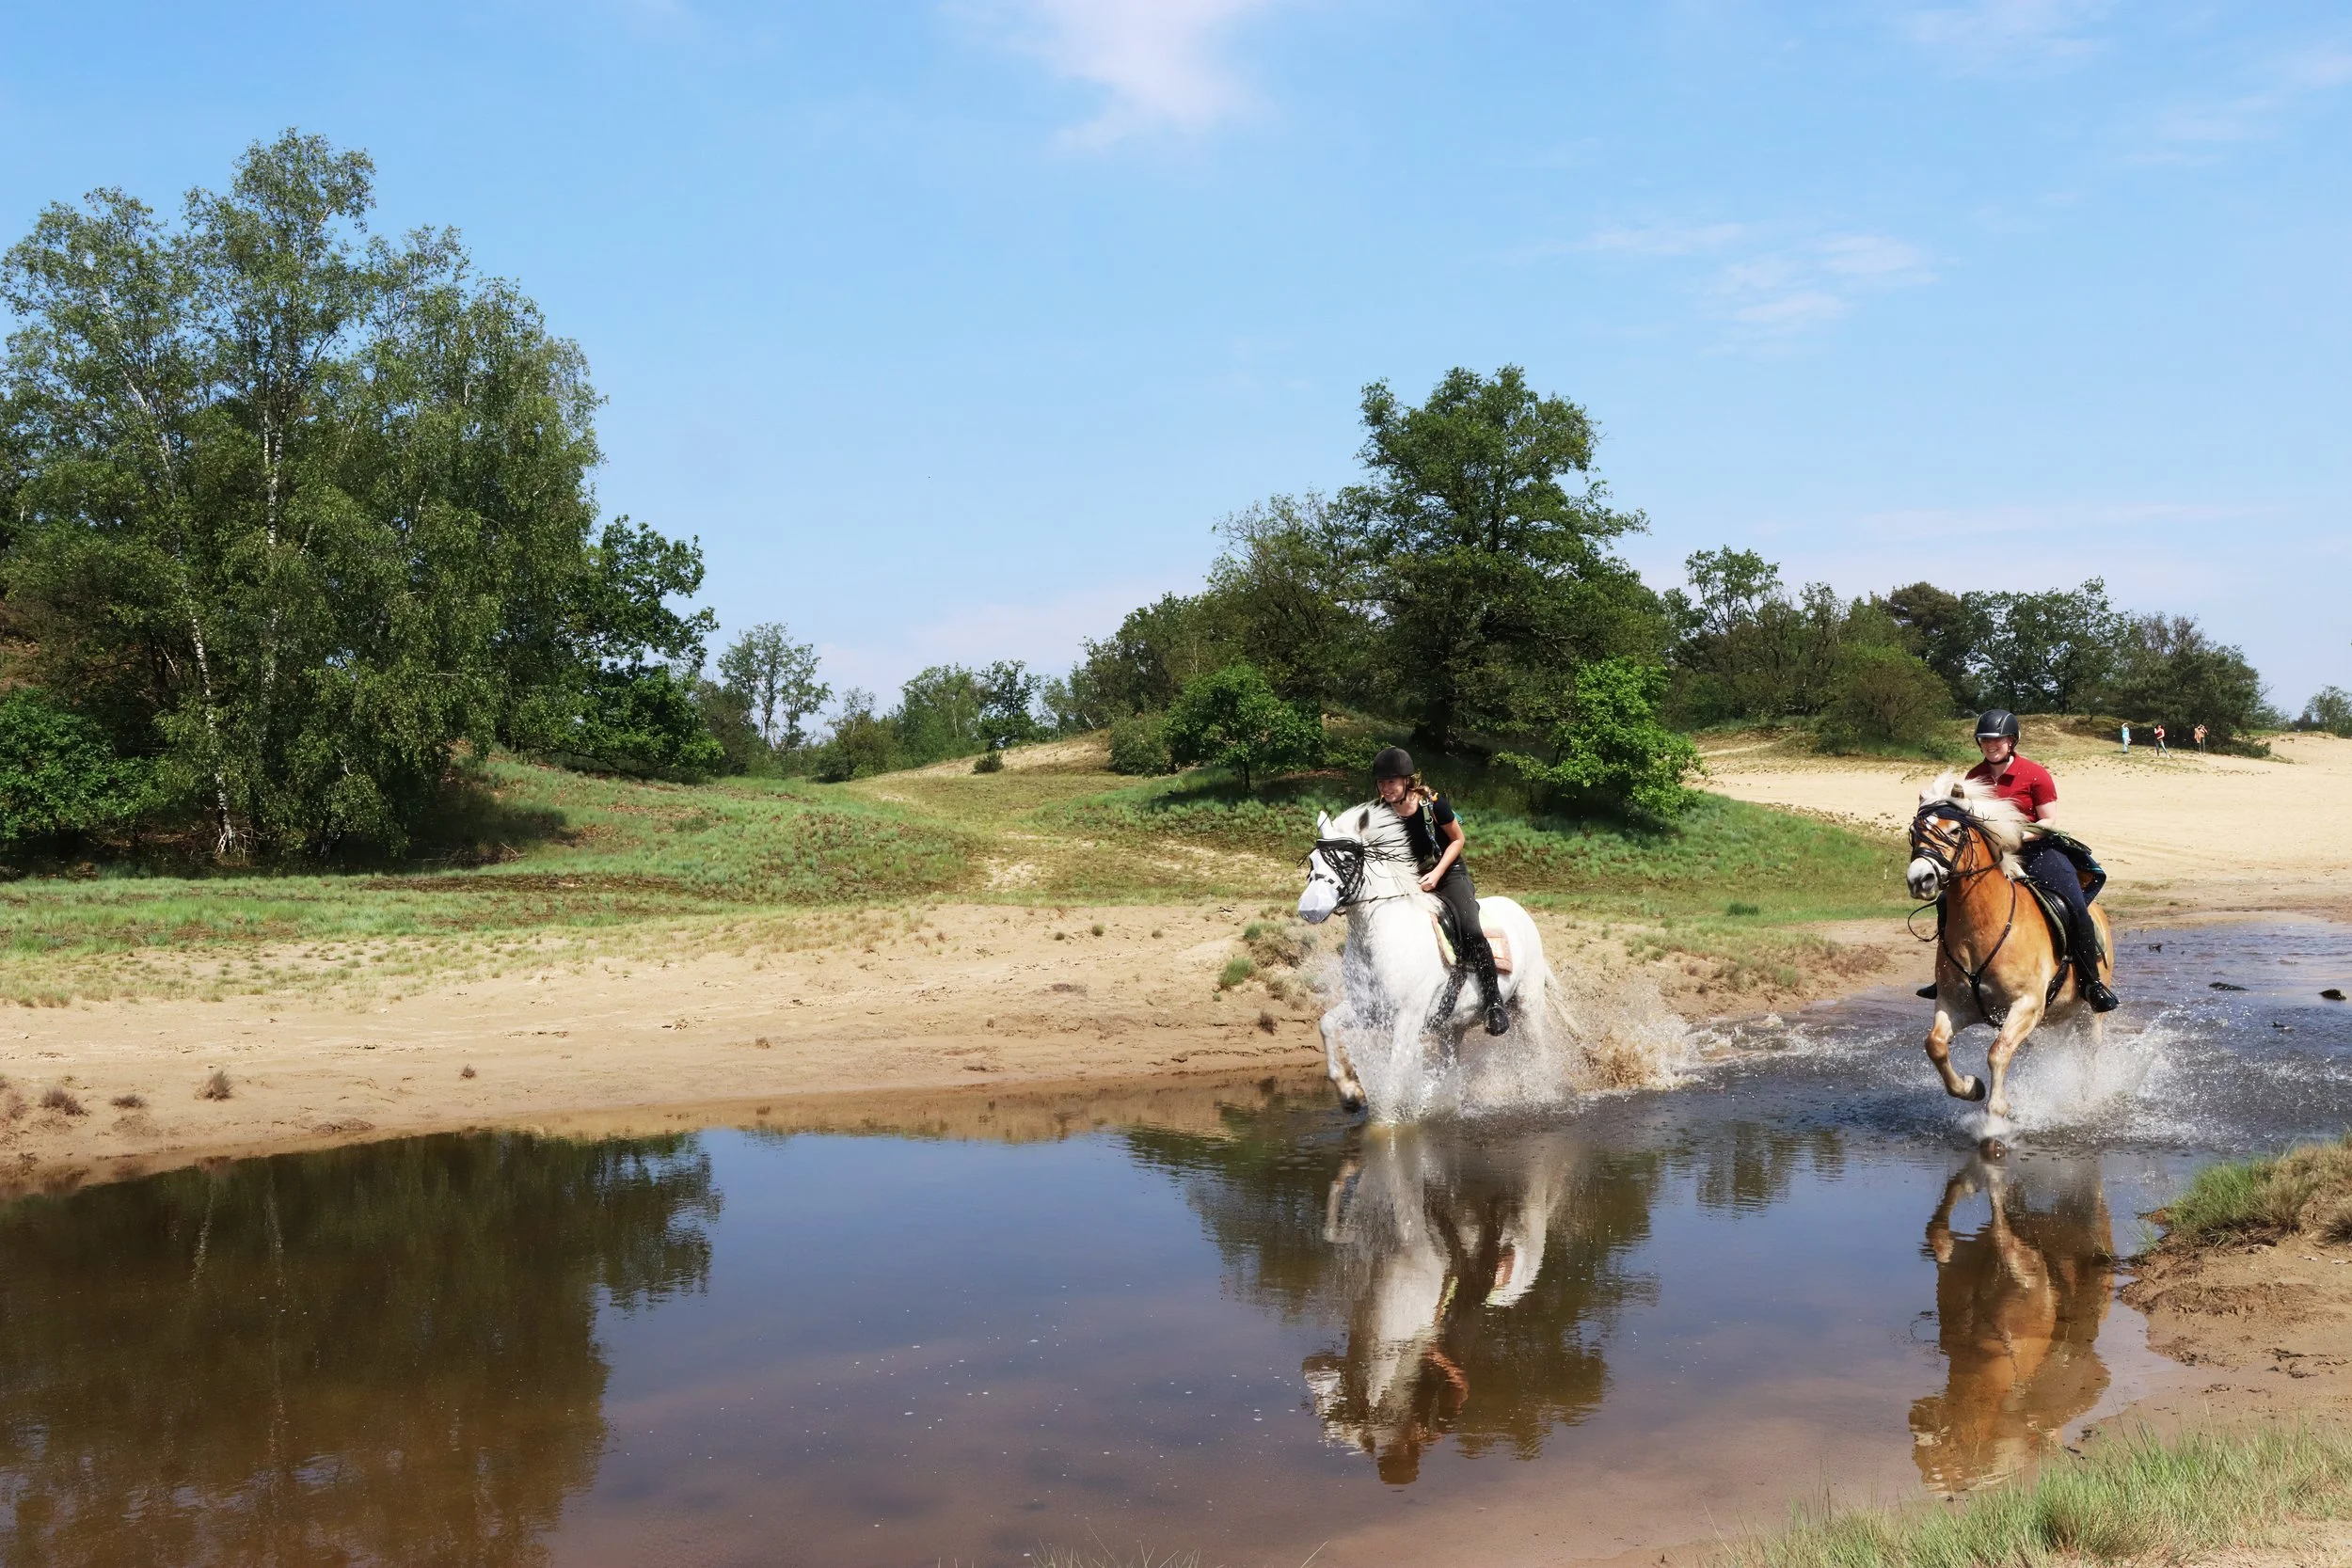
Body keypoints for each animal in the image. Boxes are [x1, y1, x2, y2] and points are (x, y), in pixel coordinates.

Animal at [1296, 801, 1554, 1115]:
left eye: (1346, 860)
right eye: (1312, 861)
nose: (1309, 909)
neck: (1381, 938)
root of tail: (1520, 911)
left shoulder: (1408, 1014)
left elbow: (1395, 1071)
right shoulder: (1366, 1008)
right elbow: (1327, 1024)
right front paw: (1351, 1094)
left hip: (1528, 1004)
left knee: (1538, 1053)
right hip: (1452, 1028)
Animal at [1907, 773, 2114, 1121]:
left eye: (1955, 830)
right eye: (1914, 832)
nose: (1919, 880)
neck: (1983, 927)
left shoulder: (2026, 1005)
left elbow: (1998, 1051)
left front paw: (1997, 1110)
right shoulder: (1954, 1004)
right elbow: (1935, 1045)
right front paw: (1972, 1087)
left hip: (2089, 1015)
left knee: (2089, 1053)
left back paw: (2084, 1101)